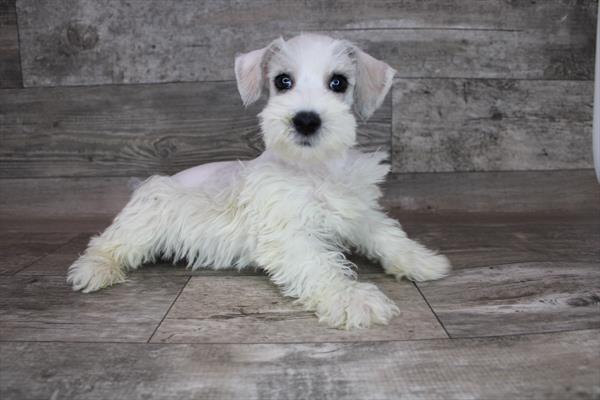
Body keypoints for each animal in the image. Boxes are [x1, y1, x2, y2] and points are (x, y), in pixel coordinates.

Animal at [67, 33, 450, 328]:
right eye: (283, 81)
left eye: (338, 82)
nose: (306, 120)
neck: (315, 169)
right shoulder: (289, 235)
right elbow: (321, 266)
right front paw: (352, 299)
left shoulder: (359, 211)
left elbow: (386, 234)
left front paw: (421, 259)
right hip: (146, 216)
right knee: (106, 243)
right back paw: (94, 270)